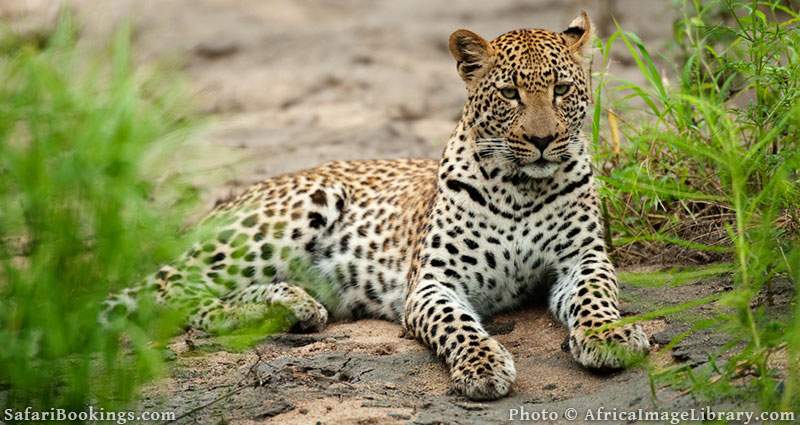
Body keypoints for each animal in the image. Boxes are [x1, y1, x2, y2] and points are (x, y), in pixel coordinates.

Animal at [101, 10, 648, 400]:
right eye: (510, 93)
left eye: (562, 89)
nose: (542, 140)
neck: (520, 189)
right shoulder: (432, 283)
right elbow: (459, 327)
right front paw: (483, 365)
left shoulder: (583, 259)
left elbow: (596, 296)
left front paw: (611, 337)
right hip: (301, 206)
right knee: (174, 297)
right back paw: (285, 304)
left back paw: (292, 305)